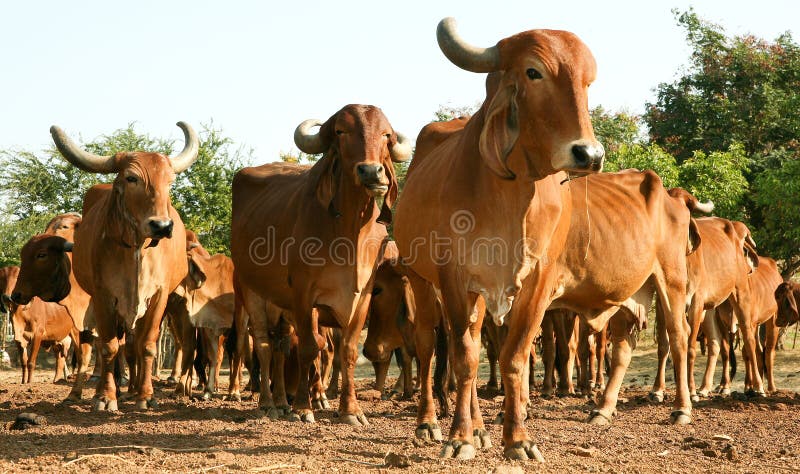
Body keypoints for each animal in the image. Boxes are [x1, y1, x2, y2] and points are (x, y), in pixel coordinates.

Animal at [43, 122, 200, 412]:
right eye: (131, 178)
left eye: (169, 182)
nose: (162, 226)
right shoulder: (103, 296)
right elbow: (108, 347)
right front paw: (106, 397)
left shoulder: (159, 297)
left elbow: (146, 346)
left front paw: (146, 396)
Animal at [228, 105, 410, 424]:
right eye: (341, 131)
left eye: (386, 135)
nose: (370, 171)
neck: (349, 234)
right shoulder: (305, 297)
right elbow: (310, 348)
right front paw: (304, 407)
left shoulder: (361, 297)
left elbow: (346, 351)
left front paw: (350, 410)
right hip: (251, 295)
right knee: (262, 346)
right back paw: (268, 403)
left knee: (280, 348)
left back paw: (282, 401)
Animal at [394, 17, 608, 460]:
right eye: (533, 72)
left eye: (588, 81)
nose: (588, 154)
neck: (510, 198)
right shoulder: (454, 277)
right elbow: (463, 357)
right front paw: (458, 438)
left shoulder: (539, 281)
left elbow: (515, 357)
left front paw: (518, 440)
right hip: (420, 279)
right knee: (429, 345)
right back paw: (431, 423)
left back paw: (480, 428)